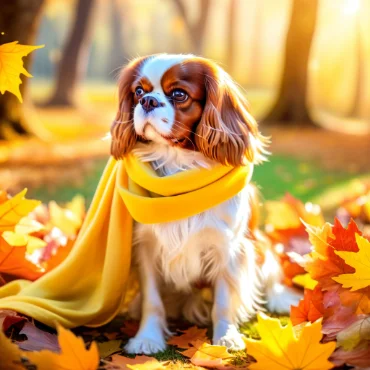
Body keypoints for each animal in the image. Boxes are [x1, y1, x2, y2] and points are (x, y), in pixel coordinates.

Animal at [109, 53, 300, 354]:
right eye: (138, 91)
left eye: (179, 94)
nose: (147, 101)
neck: (177, 165)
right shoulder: (146, 247)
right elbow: (152, 300)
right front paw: (147, 338)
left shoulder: (228, 248)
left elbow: (223, 302)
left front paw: (226, 338)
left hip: (260, 247)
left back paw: (279, 299)